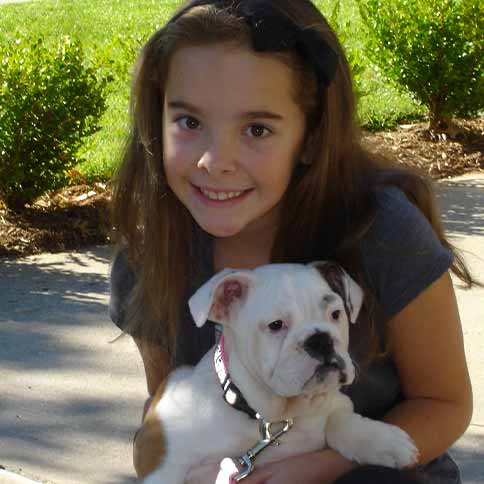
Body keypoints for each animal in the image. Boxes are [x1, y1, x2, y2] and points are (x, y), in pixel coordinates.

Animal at [137, 262, 418, 483]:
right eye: (275, 325)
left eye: (336, 314)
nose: (320, 339)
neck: (270, 416)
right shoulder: (159, 458)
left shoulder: (333, 403)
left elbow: (339, 420)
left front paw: (381, 440)